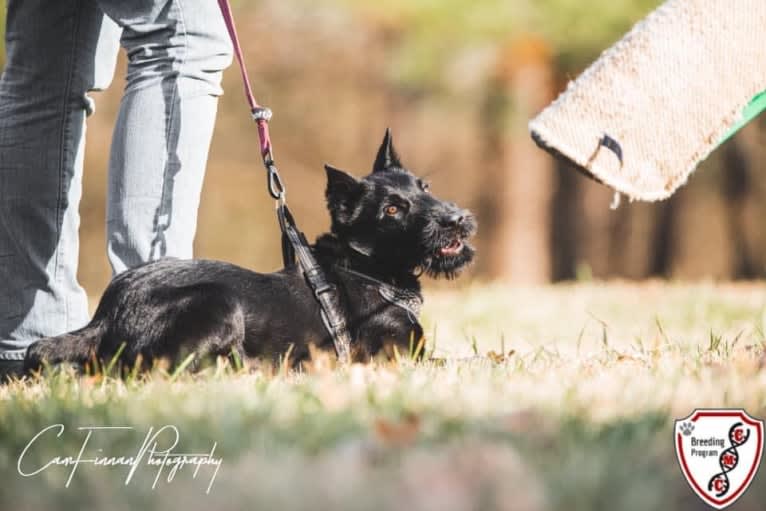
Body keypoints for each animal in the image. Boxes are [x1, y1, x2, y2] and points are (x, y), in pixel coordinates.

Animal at [24, 132, 476, 372]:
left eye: (424, 188)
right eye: (392, 210)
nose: (456, 219)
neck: (367, 266)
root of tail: (105, 315)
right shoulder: (397, 355)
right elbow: (458, 361)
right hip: (218, 301)